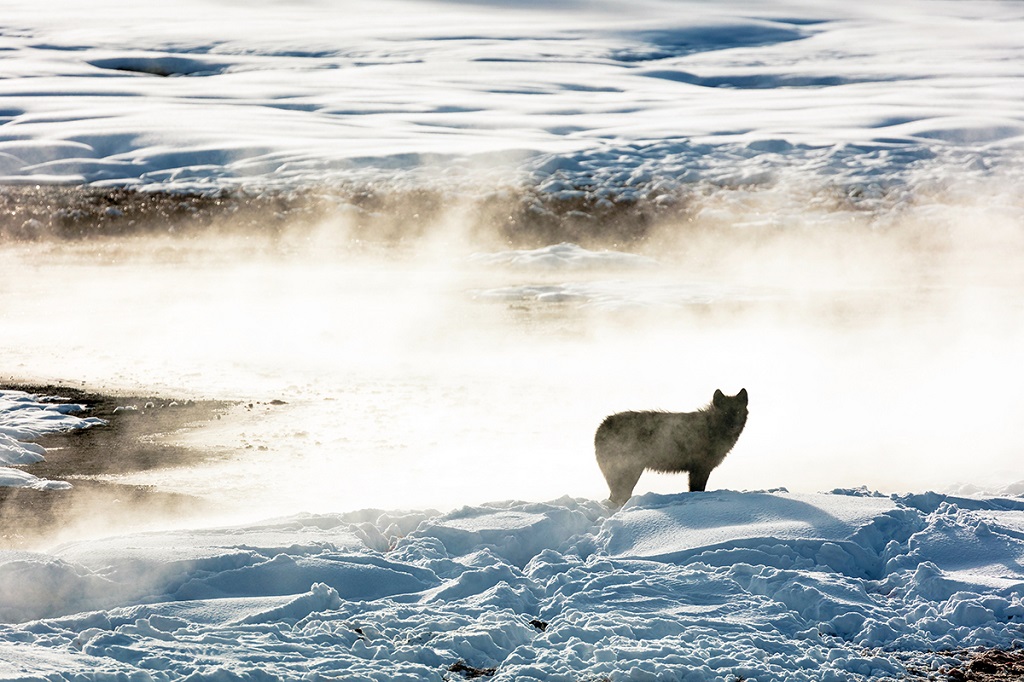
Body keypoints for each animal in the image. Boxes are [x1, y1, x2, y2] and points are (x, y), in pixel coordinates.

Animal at [598, 387, 749, 503]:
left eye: (738, 411)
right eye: (725, 412)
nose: (733, 425)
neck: (712, 428)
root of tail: (601, 427)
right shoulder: (699, 469)